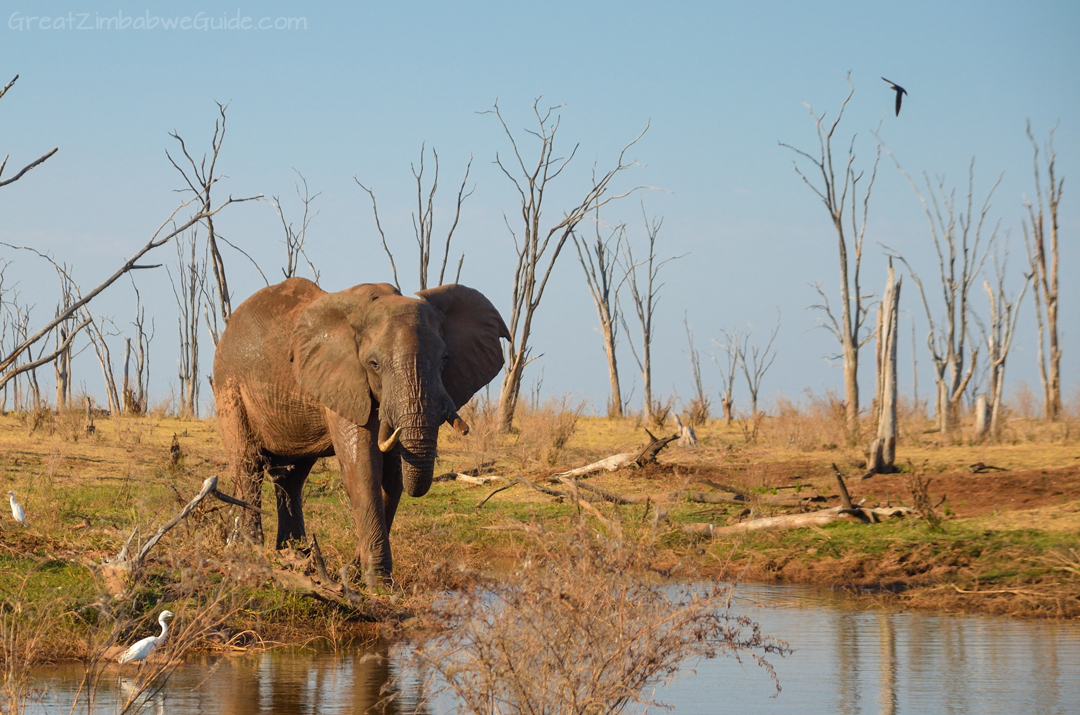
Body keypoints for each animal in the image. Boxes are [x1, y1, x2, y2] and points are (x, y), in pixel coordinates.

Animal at [217, 278, 511, 583]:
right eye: (374, 364)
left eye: (444, 359)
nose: (353, 566)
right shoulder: (343, 380)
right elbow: (363, 468)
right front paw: (377, 581)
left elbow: (393, 474)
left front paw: (359, 573)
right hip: (229, 385)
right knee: (248, 465)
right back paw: (254, 552)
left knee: (292, 477)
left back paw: (293, 553)